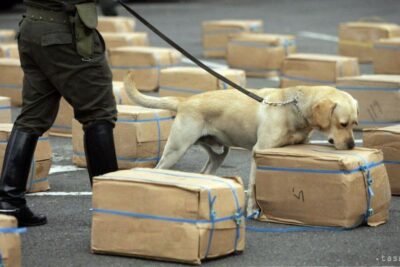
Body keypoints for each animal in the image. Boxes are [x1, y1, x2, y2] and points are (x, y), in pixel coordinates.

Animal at [123, 75, 358, 216]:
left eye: (355, 124)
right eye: (342, 124)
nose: (351, 146)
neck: (293, 107)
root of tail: (184, 102)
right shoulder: (259, 151)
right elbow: (253, 185)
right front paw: (252, 210)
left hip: (219, 152)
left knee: (205, 172)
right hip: (176, 149)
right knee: (158, 169)